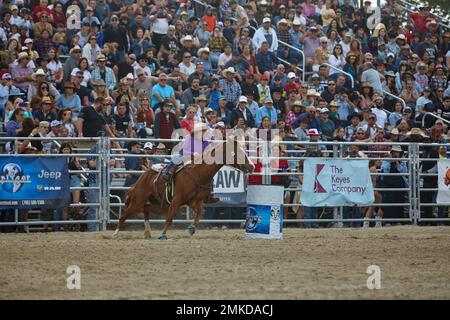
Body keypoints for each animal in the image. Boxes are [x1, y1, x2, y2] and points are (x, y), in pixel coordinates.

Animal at [112, 136, 255, 239]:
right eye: (235, 152)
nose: (252, 166)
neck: (199, 173)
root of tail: (144, 175)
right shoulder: (176, 200)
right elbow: (170, 218)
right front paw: (163, 234)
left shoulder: (193, 201)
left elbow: (199, 214)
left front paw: (192, 228)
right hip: (138, 200)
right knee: (124, 215)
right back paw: (115, 233)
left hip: (157, 204)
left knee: (145, 211)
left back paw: (147, 233)